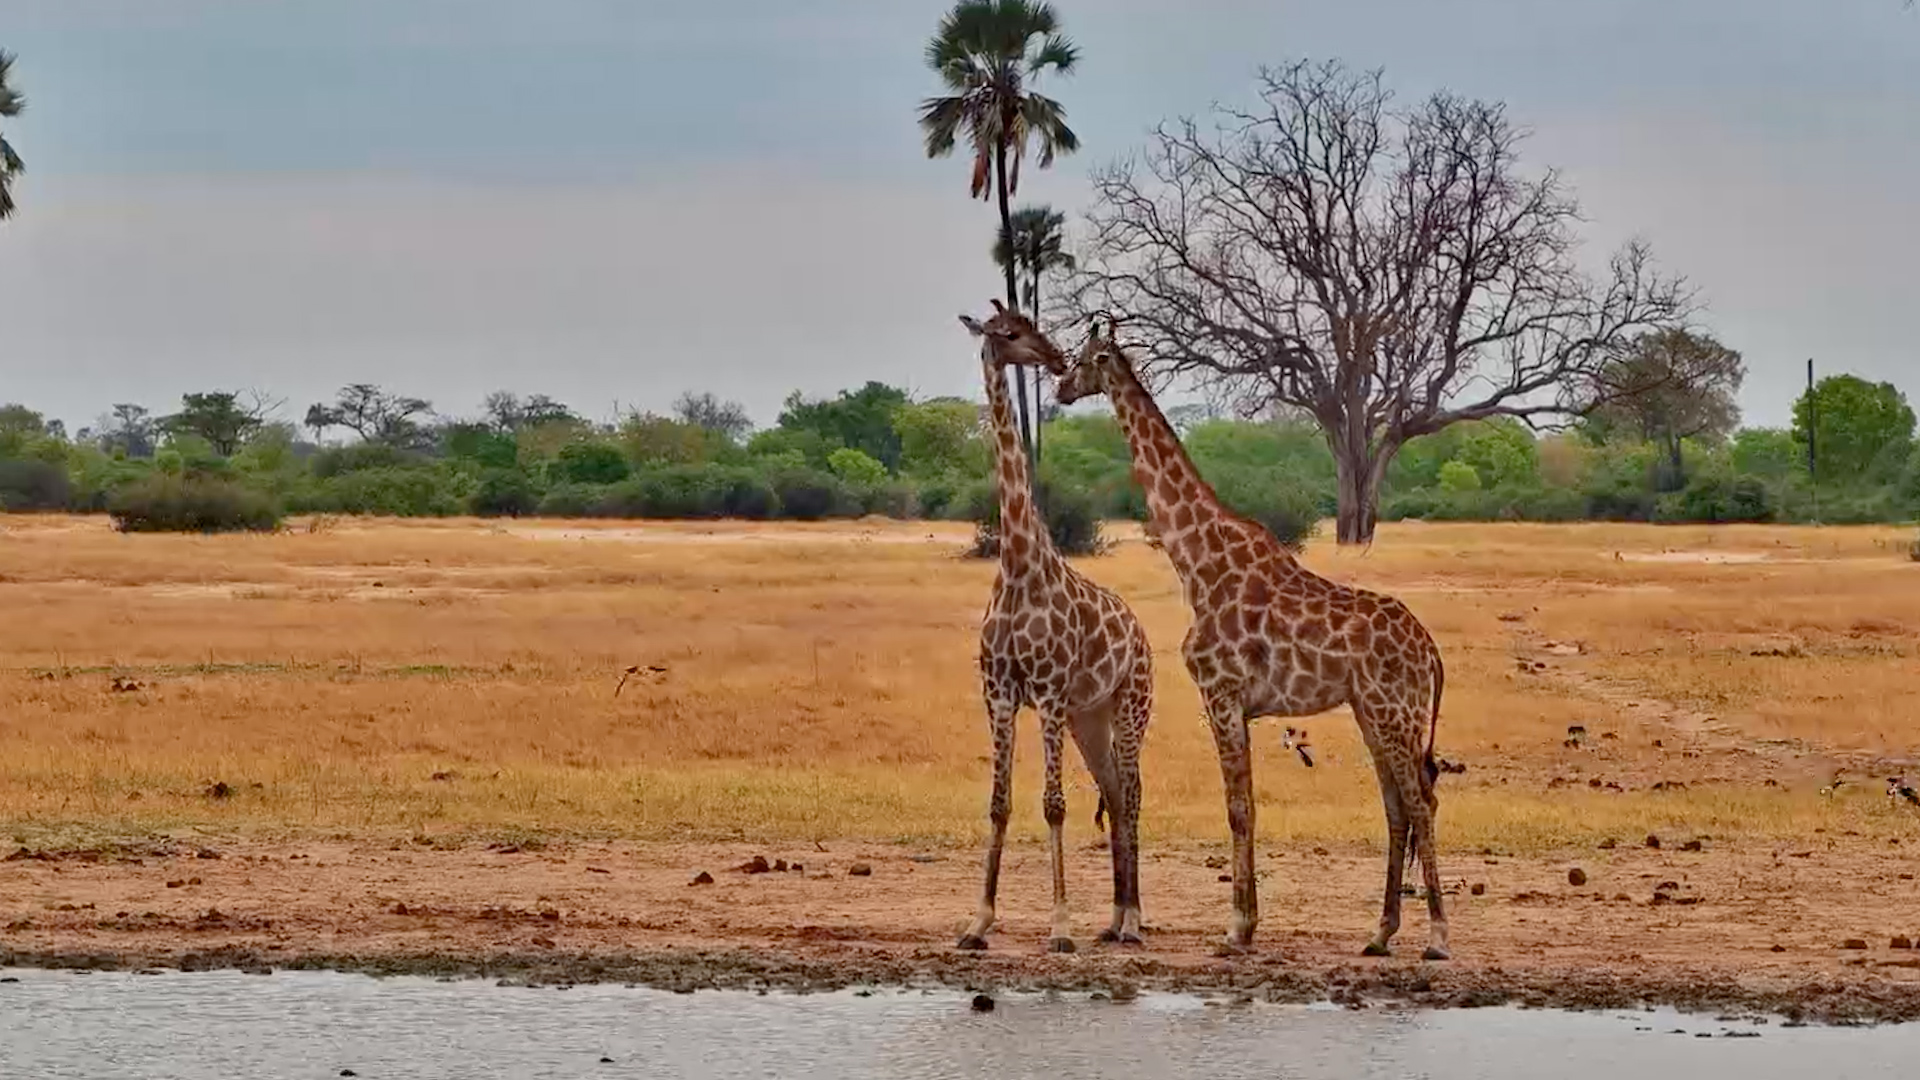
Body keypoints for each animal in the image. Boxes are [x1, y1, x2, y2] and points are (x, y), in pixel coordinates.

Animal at [952, 300, 1155, 953]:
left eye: (1031, 325)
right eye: (1010, 332)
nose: (1058, 357)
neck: (1019, 565)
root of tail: (1140, 632)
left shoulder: (1046, 691)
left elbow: (1054, 804)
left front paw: (1060, 928)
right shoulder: (998, 692)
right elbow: (999, 804)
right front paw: (978, 923)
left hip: (1129, 704)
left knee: (1132, 794)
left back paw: (1134, 921)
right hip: (1089, 717)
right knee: (1113, 792)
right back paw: (1114, 919)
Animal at [1005, 316, 1450, 960]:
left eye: (1088, 358)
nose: (1062, 388)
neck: (1198, 564)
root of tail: (1433, 652)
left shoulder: (1220, 693)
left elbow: (1238, 809)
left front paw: (1236, 929)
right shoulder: (1236, 703)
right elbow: (1247, 807)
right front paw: (1248, 923)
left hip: (1396, 711)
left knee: (1421, 801)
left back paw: (1437, 937)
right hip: (1374, 712)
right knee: (1398, 806)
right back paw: (1380, 933)